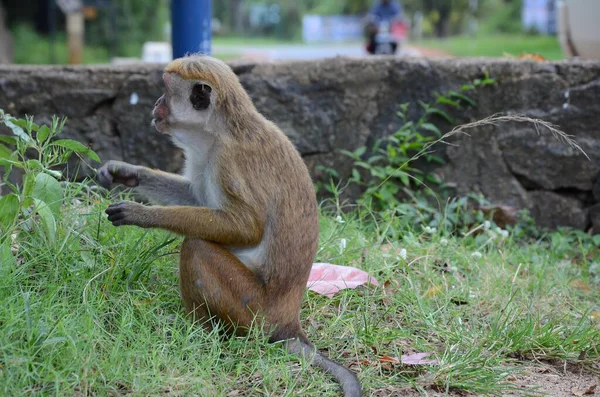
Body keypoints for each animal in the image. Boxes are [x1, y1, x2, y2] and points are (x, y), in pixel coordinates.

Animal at [96, 54, 364, 394]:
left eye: (166, 91)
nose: (156, 104)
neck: (218, 130)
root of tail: (289, 322)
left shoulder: (228, 160)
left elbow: (247, 227)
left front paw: (142, 214)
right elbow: (197, 198)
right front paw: (127, 172)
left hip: (252, 309)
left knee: (196, 247)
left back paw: (201, 329)